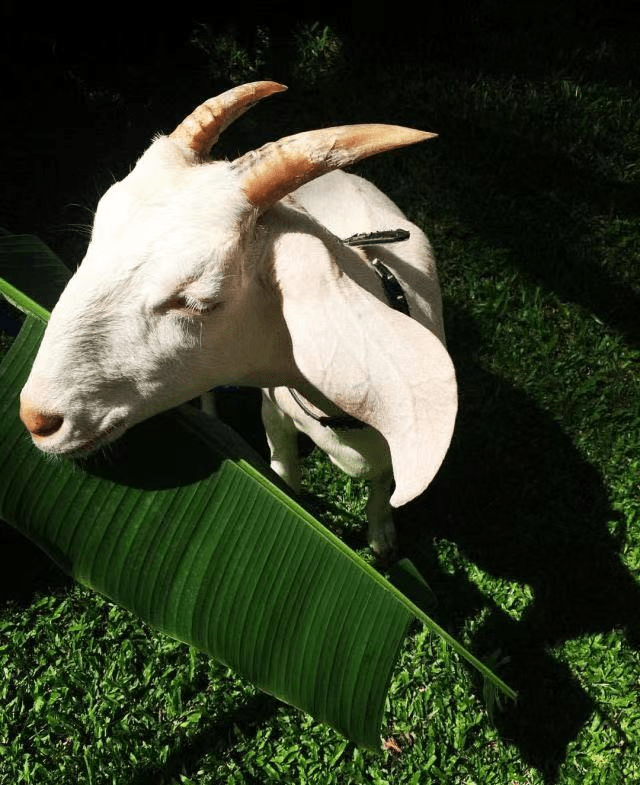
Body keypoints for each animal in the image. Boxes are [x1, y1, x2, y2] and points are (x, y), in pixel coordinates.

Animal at [20, 82, 458, 556]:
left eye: (198, 300)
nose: (37, 419)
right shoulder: (274, 412)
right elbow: (285, 474)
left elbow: (382, 486)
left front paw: (381, 537)